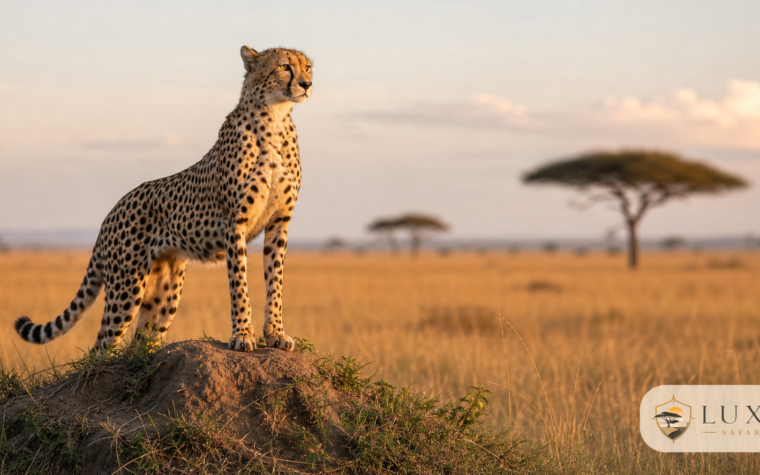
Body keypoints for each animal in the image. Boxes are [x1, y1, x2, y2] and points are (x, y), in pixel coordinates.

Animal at [14, 46, 313, 354]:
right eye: (285, 67)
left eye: (308, 67)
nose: (307, 84)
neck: (274, 118)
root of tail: (112, 211)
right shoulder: (235, 223)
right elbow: (239, 283)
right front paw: (242, 335)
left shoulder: (279, 222)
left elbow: (275, 283)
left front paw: (276, 333)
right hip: (126, 287)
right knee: (100, 349)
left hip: (165, 291)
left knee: (140, 343)